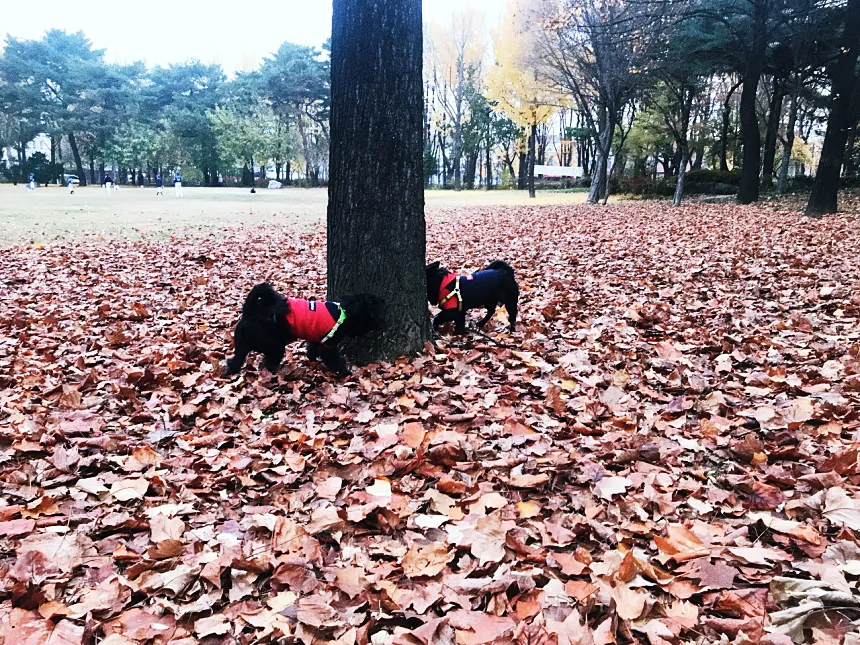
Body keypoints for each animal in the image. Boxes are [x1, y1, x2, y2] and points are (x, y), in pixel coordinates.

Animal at [223, 284, 384, 378]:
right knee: (268, 363)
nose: (380, 323)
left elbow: (311, 350)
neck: (344, 313)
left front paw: (312, 360)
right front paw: (345, 372)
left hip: (242, 347)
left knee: (235, 360)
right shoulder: (328, 346)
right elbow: (335, 360)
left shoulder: (315, 339)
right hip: (275, 347)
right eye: (374, 313)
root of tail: (249, 313)